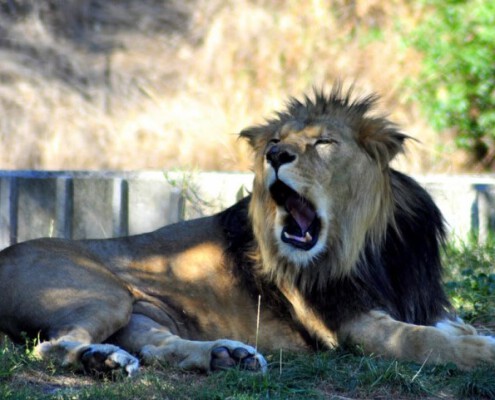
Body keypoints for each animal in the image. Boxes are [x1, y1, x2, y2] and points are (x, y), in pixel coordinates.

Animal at [0, 83, 495, 376]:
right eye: (275, 141)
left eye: (324, 142)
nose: (276, 155)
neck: (370, 245)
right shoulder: (349, 325)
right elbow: (419, 339)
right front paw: (480, 352)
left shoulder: (422, 303)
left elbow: (451, 326)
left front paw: (476, 336)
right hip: (107, 294)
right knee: (52, 348)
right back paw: (103, 361)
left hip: (143, 313)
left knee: (158, 347)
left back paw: (225, 356)